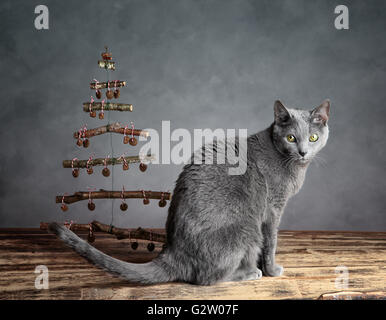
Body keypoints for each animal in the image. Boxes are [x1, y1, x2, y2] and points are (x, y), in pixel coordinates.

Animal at [49, 99, 330, 284]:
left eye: (313, 138)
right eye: (291, 138)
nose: (303, 151)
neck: (292, 165)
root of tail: (174, 252)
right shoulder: (273, 209)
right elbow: (271, 242)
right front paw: (271, 270)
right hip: (246, 229)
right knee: (208, 278)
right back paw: (250, 272)